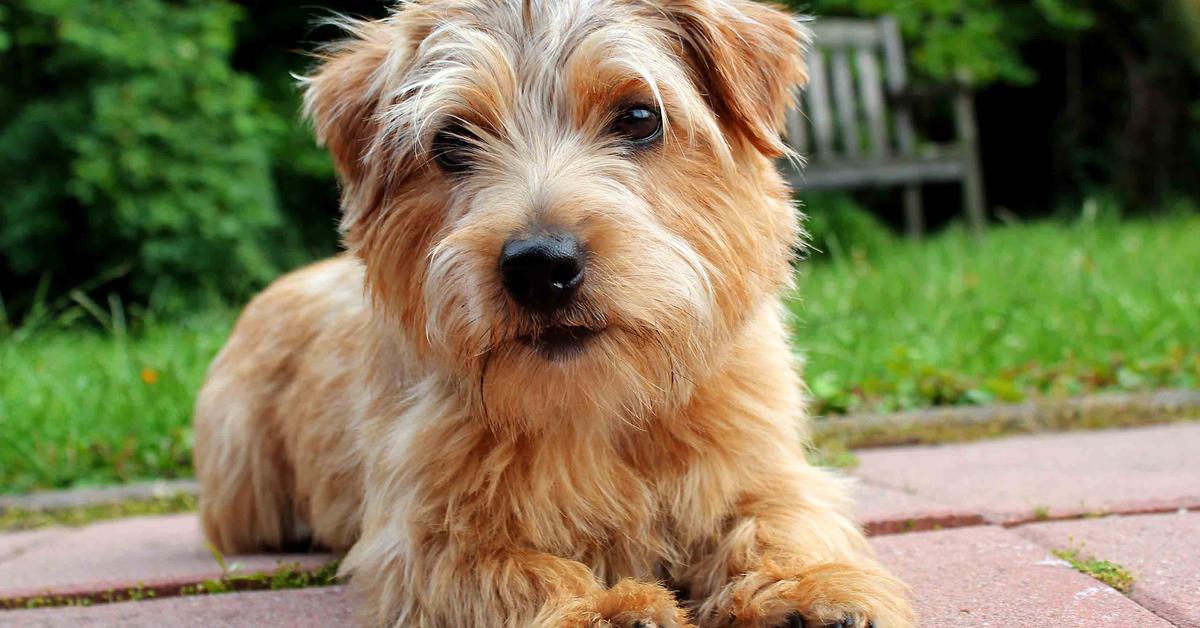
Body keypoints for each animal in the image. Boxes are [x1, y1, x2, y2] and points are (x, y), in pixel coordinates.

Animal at [194, 1, 907, 628]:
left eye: (639, 117)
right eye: (451, 141)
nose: (539, 265)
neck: (594, 403)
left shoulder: (763, 468)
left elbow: (781, 521)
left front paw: (808, 588)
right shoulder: (419, 537)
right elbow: (515, 567)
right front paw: (602, 608)